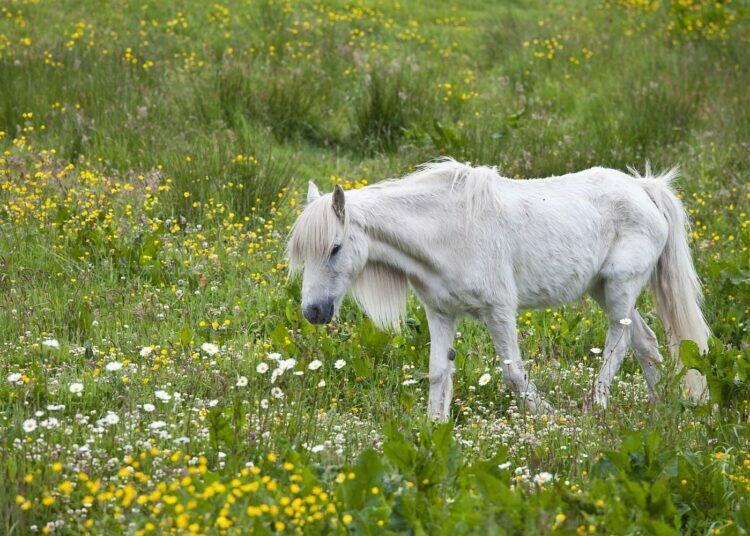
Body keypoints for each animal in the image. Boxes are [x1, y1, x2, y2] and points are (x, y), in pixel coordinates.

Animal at [286, 161, 712, 420]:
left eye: (334, 248)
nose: (313, 312)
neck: (445, 230)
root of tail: (643, 188)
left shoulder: (499, 311)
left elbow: (513, 374)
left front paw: (546, 417)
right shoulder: (441, 313)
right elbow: (438, 372)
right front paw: (432, 427)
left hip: (620, 288)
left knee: (618, 345)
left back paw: (597, 406)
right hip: (603, 290)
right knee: (646, 343)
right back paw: (661, 407)